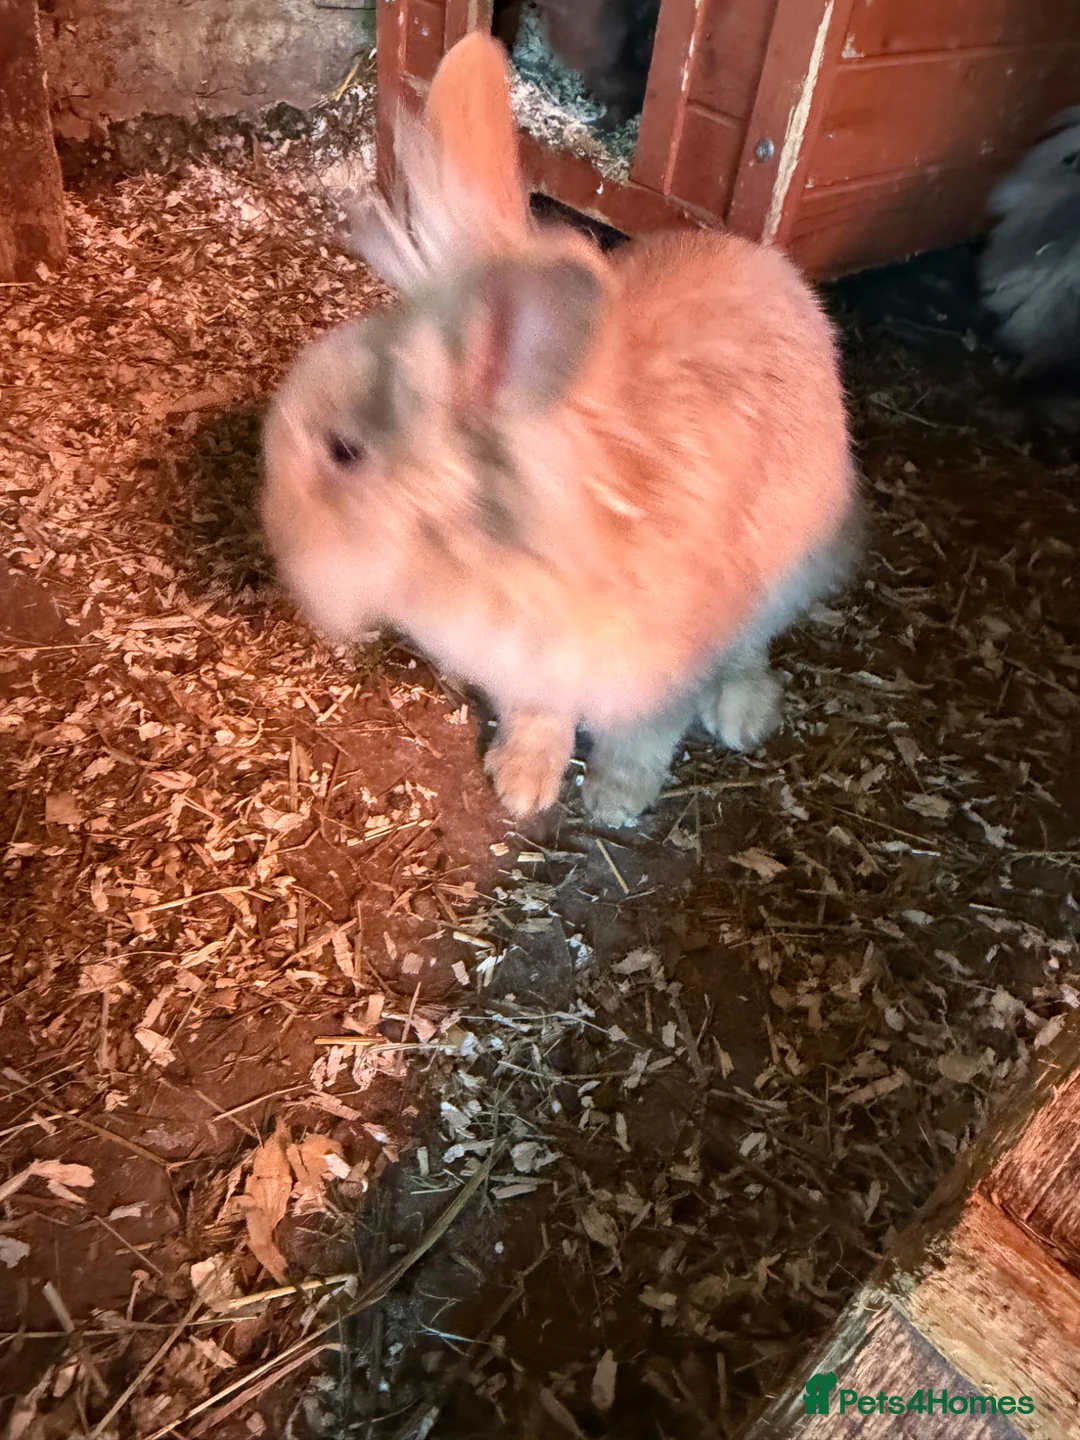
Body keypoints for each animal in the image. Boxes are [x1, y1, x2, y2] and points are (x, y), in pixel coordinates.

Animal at [261, 32, 859, 828]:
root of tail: (773, 266)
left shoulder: (655, 675)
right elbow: (539, 716)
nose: (275, 533)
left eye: (345, 451)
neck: (502, 547)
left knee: (752, 648)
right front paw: (521, 780)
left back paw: (742, 712)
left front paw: (614, 800)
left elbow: (644, 738)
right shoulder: (528, 672)